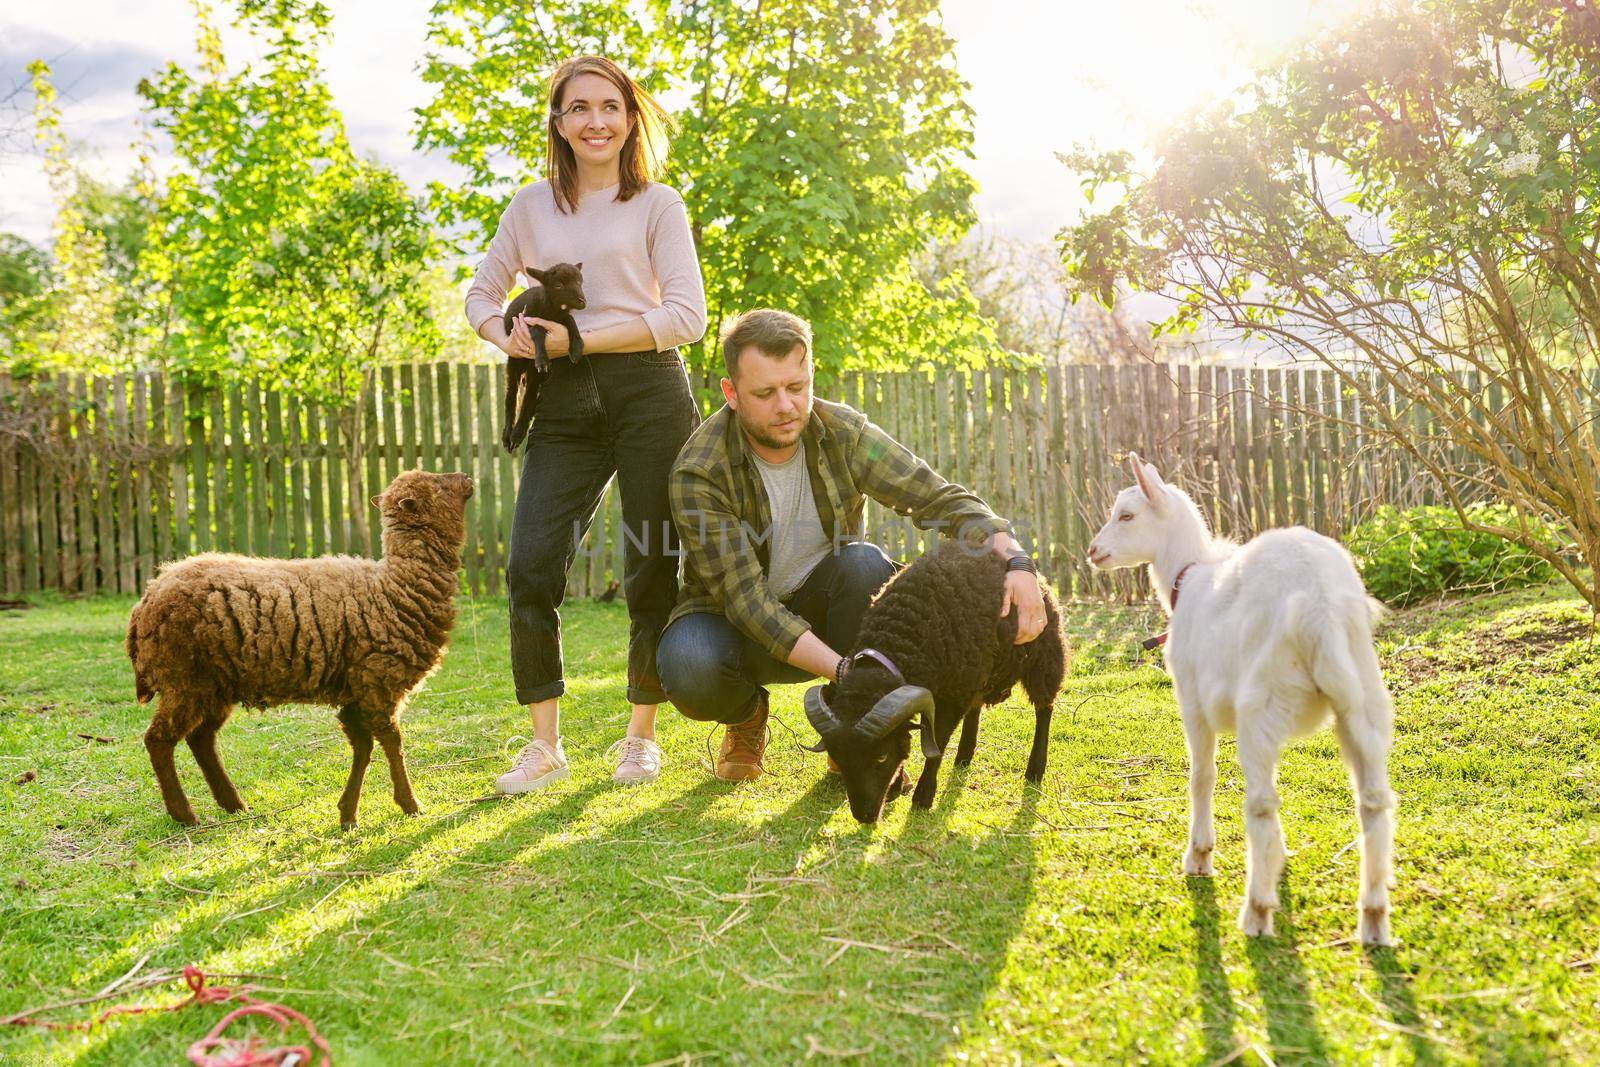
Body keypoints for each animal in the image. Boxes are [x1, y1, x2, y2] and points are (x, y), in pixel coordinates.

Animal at [124, 470, 473, 831]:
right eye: (438, 486)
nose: (465, 476)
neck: (397, 586)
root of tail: (146, 601)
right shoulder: (378, 684)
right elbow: (393, 744)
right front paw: (409, 804)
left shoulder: (355, 694)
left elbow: (362, 749)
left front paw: (348, 813)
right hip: (184, 681)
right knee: (159, 739)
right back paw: (184, 813)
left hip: (214, 686)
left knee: (201, 739)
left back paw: (233, 804)